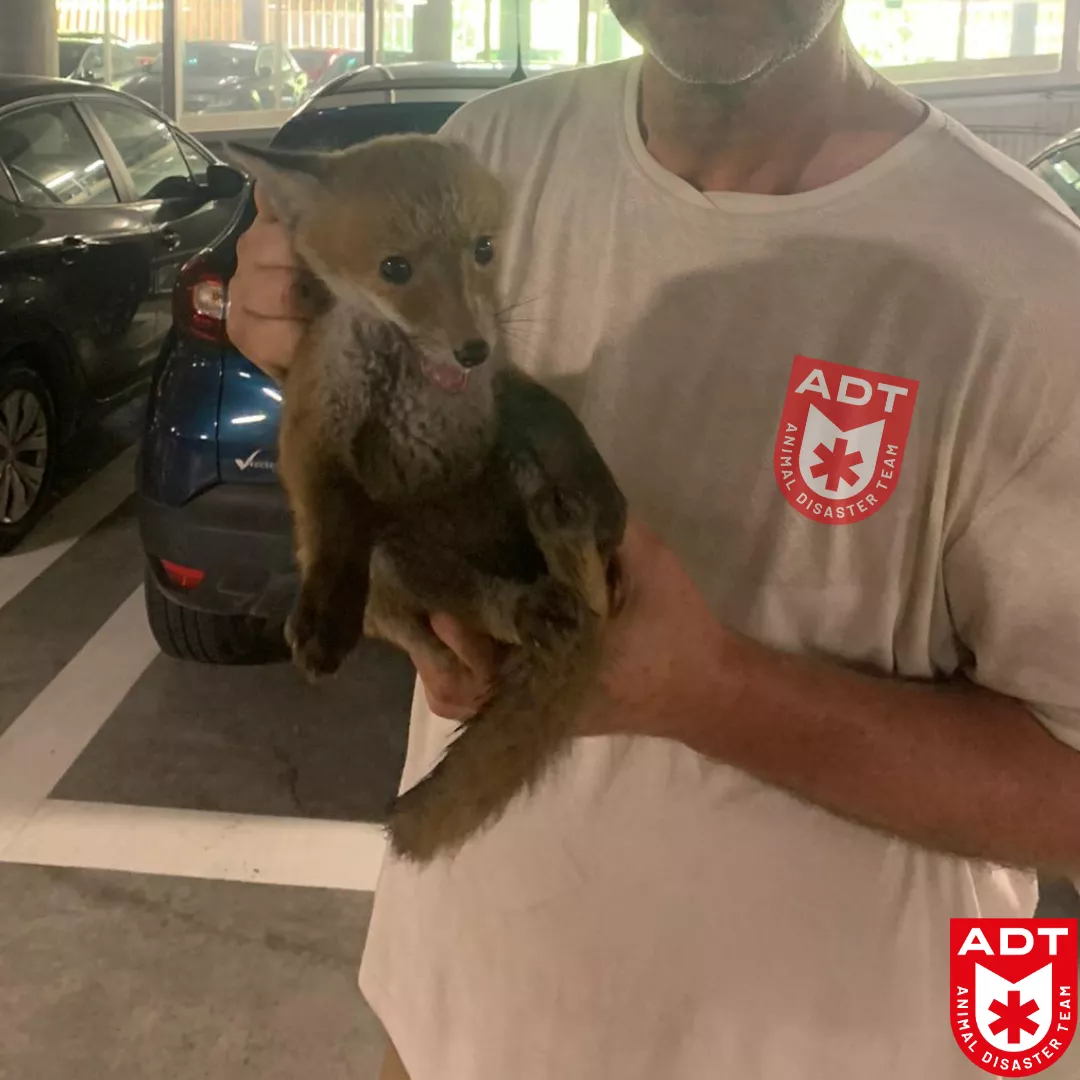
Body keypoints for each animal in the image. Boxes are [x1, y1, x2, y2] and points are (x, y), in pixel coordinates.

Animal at [226, 134, 628, 864]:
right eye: (396, 268)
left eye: (483, 249)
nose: (471, 347)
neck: (415, 382)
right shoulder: (319, 428)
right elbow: (332, 527)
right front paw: (325, 618)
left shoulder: (504, 392)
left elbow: (555, 419)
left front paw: (609, 502)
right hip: (401, 560)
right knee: (482, 608)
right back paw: (527, 602)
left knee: (579, 595)